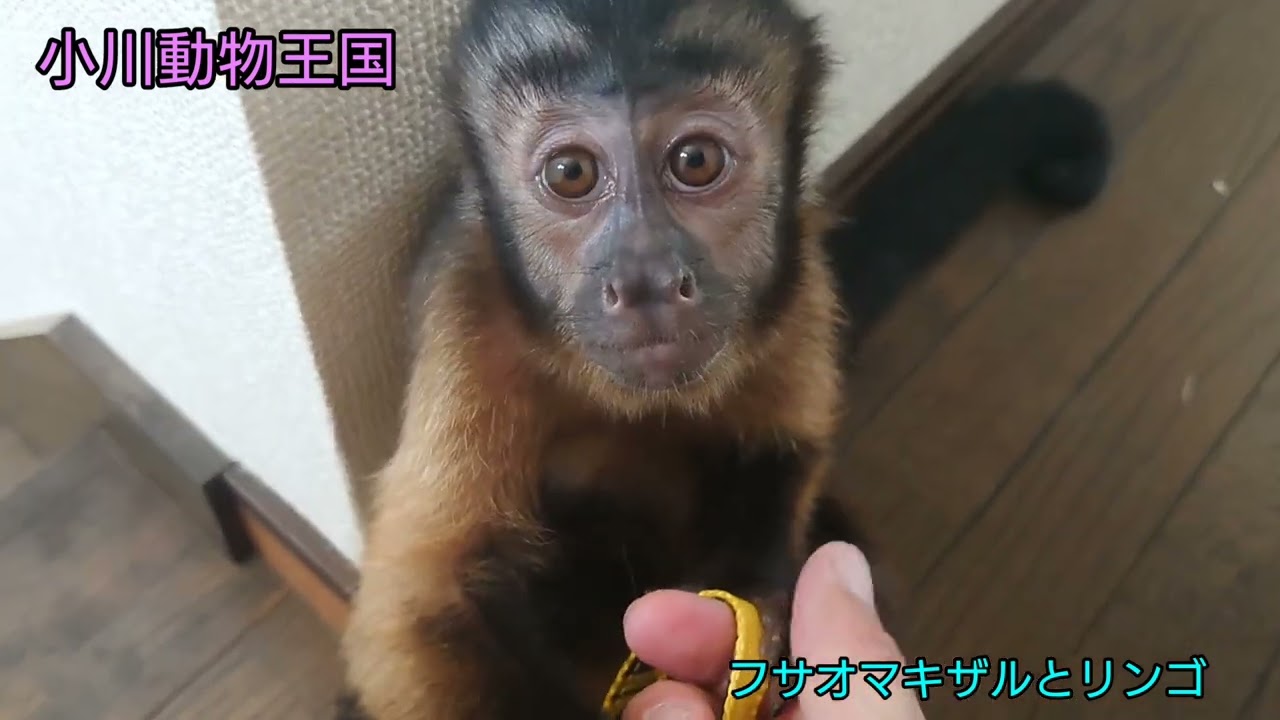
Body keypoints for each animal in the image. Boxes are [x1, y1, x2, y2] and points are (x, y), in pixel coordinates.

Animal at [334, 1, 1113, 719]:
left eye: (696, 161)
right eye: (571, 172)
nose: (645, 276)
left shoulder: (801, 282)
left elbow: (779, 447)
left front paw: (761, 611)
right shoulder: (464, 306)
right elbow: (427, 602)